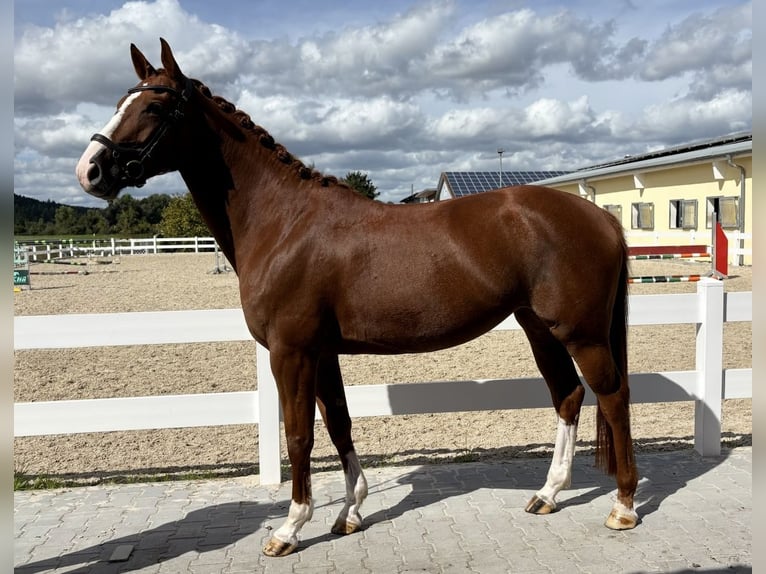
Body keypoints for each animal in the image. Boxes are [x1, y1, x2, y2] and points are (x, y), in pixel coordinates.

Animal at [77, 39, 639, 557]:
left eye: (154, 106)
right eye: (121, 100)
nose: (90, 170)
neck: (284, 223)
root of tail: (601, 216)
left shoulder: (291, 353)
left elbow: (299, 434)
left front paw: (289, 528)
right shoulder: (322, 352)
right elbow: (339, 424)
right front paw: (349, 512)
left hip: (582, 334)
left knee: (612, 396)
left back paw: (623, 506)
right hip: (539, 328)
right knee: (567, 395)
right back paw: (548, 494)